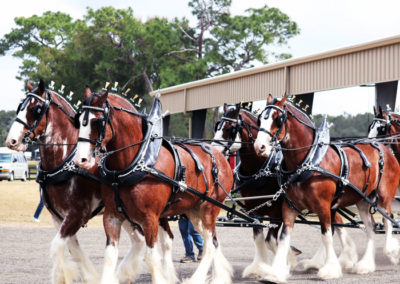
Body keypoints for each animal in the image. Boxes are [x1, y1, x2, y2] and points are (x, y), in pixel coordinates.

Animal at [73, 90, 234, 284]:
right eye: (77, 120)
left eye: (97, 121)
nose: (80, 160)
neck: (137, 162)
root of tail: (220, 155)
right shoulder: (112, 216)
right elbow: (110, 256)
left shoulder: (150, 219)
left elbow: (151, 257)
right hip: (194, 211)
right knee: (214, 242)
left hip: (210, 209)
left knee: (210, 245)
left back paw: (198, 278)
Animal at [212, 103, 356, 276]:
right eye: (217, 126)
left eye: (230, 128)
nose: (213, 152)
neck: (263, 167)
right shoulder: (254, 210)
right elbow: (259, 239)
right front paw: (259, 266)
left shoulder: (277, 212)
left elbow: (270, 240)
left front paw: (287, 261)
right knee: (336, 223)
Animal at [255, 95, 398, 282]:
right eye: (260, 119)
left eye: (278, 119)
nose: (259, 147)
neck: (308, 160)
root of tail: (386, 150)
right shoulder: (290, 207)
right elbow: (284, 238)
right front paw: (276, 273)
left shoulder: (323, 206)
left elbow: (326, 235)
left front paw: (330, 269)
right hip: (362, 201)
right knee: (370, 227)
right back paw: (366, 265)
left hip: (383, 198)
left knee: (388, 220)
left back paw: (391, 251)